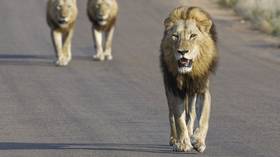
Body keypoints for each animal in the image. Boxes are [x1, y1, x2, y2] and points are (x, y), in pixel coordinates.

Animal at [160, 6, 219, 153]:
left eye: (193, 36)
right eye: (175, 36)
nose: (182, 52)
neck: (189, 74)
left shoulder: (202, 89)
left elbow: (203, 118)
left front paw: (198, 141)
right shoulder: (175, 90)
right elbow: (179, 120)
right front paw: (182, 143)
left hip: (192, 93)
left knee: (191, 114)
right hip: (168, 88)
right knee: (171, 115)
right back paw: (174, 139)